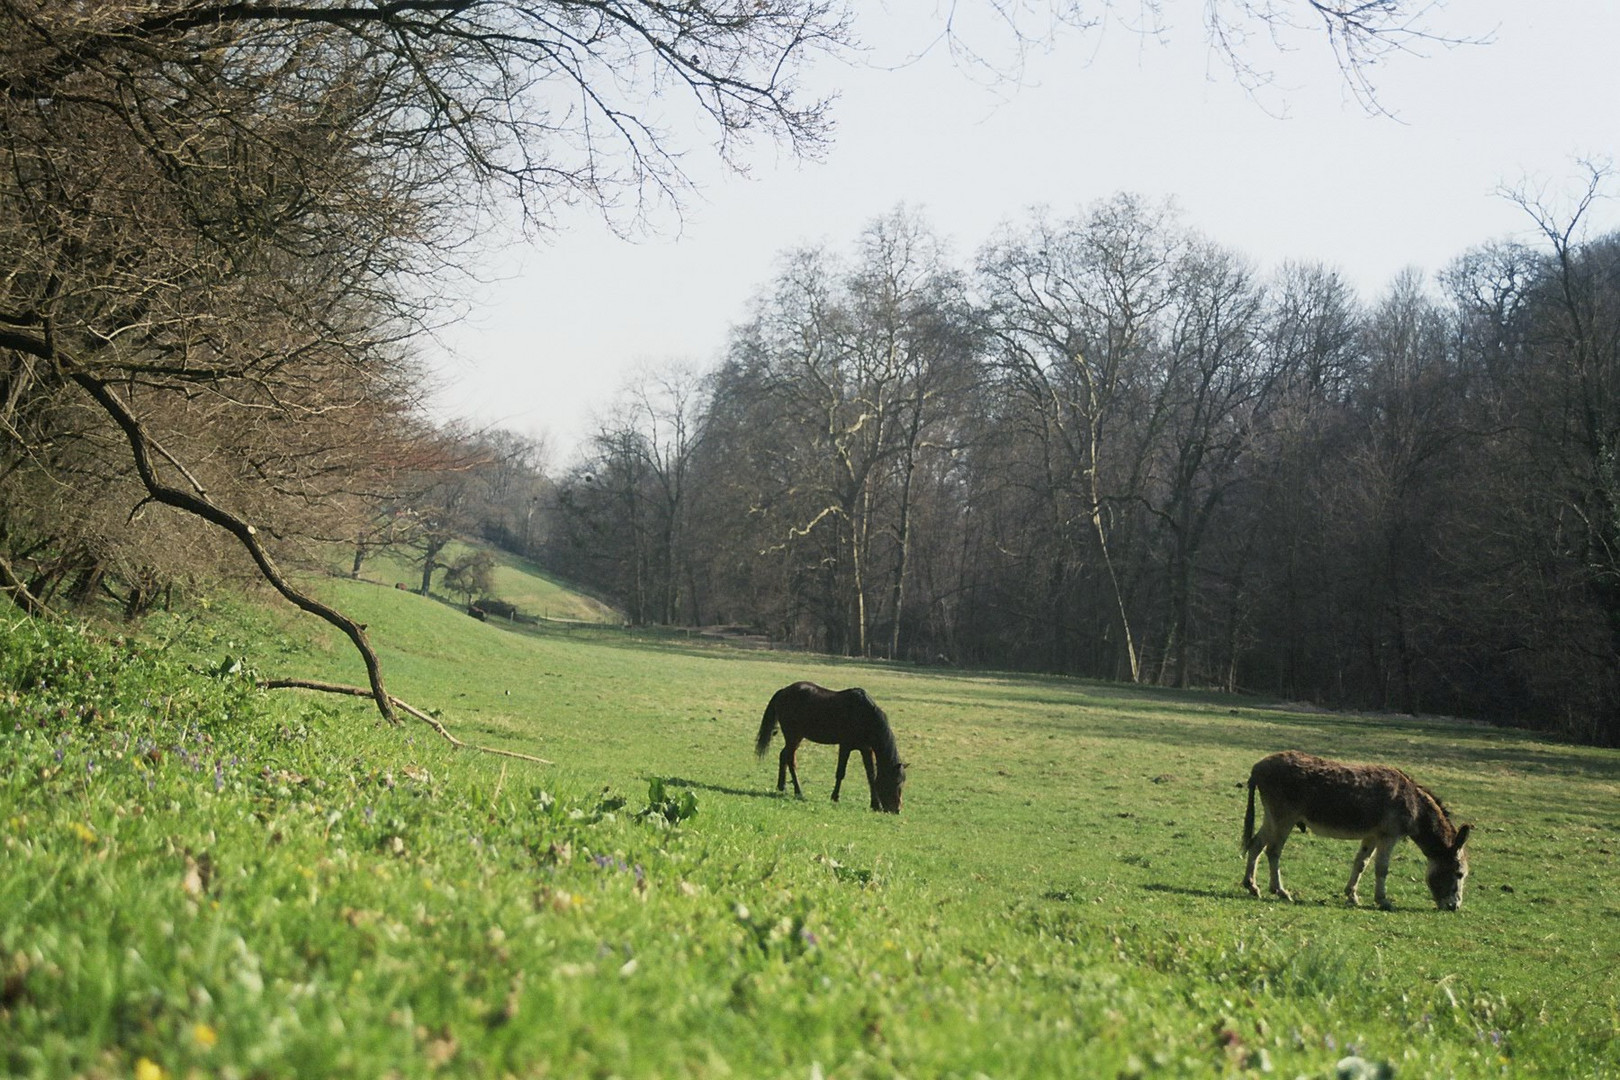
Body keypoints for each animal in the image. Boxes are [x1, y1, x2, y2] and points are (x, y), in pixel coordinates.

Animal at [751, 680, 907, 816]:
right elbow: (840, 773)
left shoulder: (866, 749)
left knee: (783, 755)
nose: (897, 810)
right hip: (794, 736)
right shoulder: (845, 746)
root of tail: (784, 690)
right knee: (790, 759)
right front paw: (835, 797)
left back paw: (782, 786)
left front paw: (875, 804)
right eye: (894, 781)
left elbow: (871, 775)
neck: (865, 715)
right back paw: (798, 791)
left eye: (902, 782)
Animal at [1237, 751, 1470, 913]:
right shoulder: (1389, 836)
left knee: (1256, 845)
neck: (1415, 805)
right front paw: (1383, 900)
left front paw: (1352, 896)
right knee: (1273, 851)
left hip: (1273, 817)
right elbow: (1382, 868)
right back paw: (1280, 891)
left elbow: (1361, 863)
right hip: (1284, 818)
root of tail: (1258, 767)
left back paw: (1252, 887)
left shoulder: (1372, 835)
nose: (1455, 908)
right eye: (1459, 874)